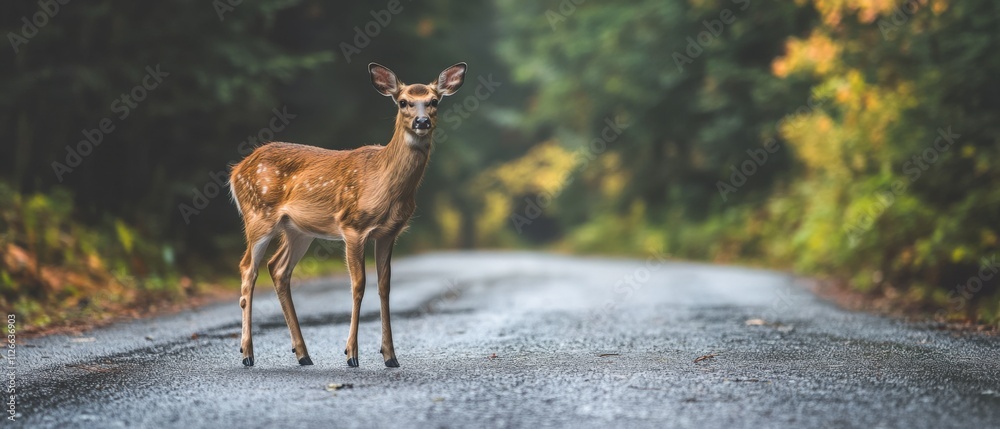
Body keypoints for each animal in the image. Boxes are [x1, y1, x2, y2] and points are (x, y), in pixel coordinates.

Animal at [228, 62, 467, 368]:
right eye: (403, 102)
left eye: (434, 101)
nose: (422, 122)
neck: (385, 183)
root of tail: (236, 170)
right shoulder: (353, 226)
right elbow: (358, 284)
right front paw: (352, 354)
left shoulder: (389, 233)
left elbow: (384, 286)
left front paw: (390, 356)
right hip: (258, 214)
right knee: (248, 268)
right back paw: (248, 353)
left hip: (297, 230)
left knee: (278, 268)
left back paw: (303, 354)